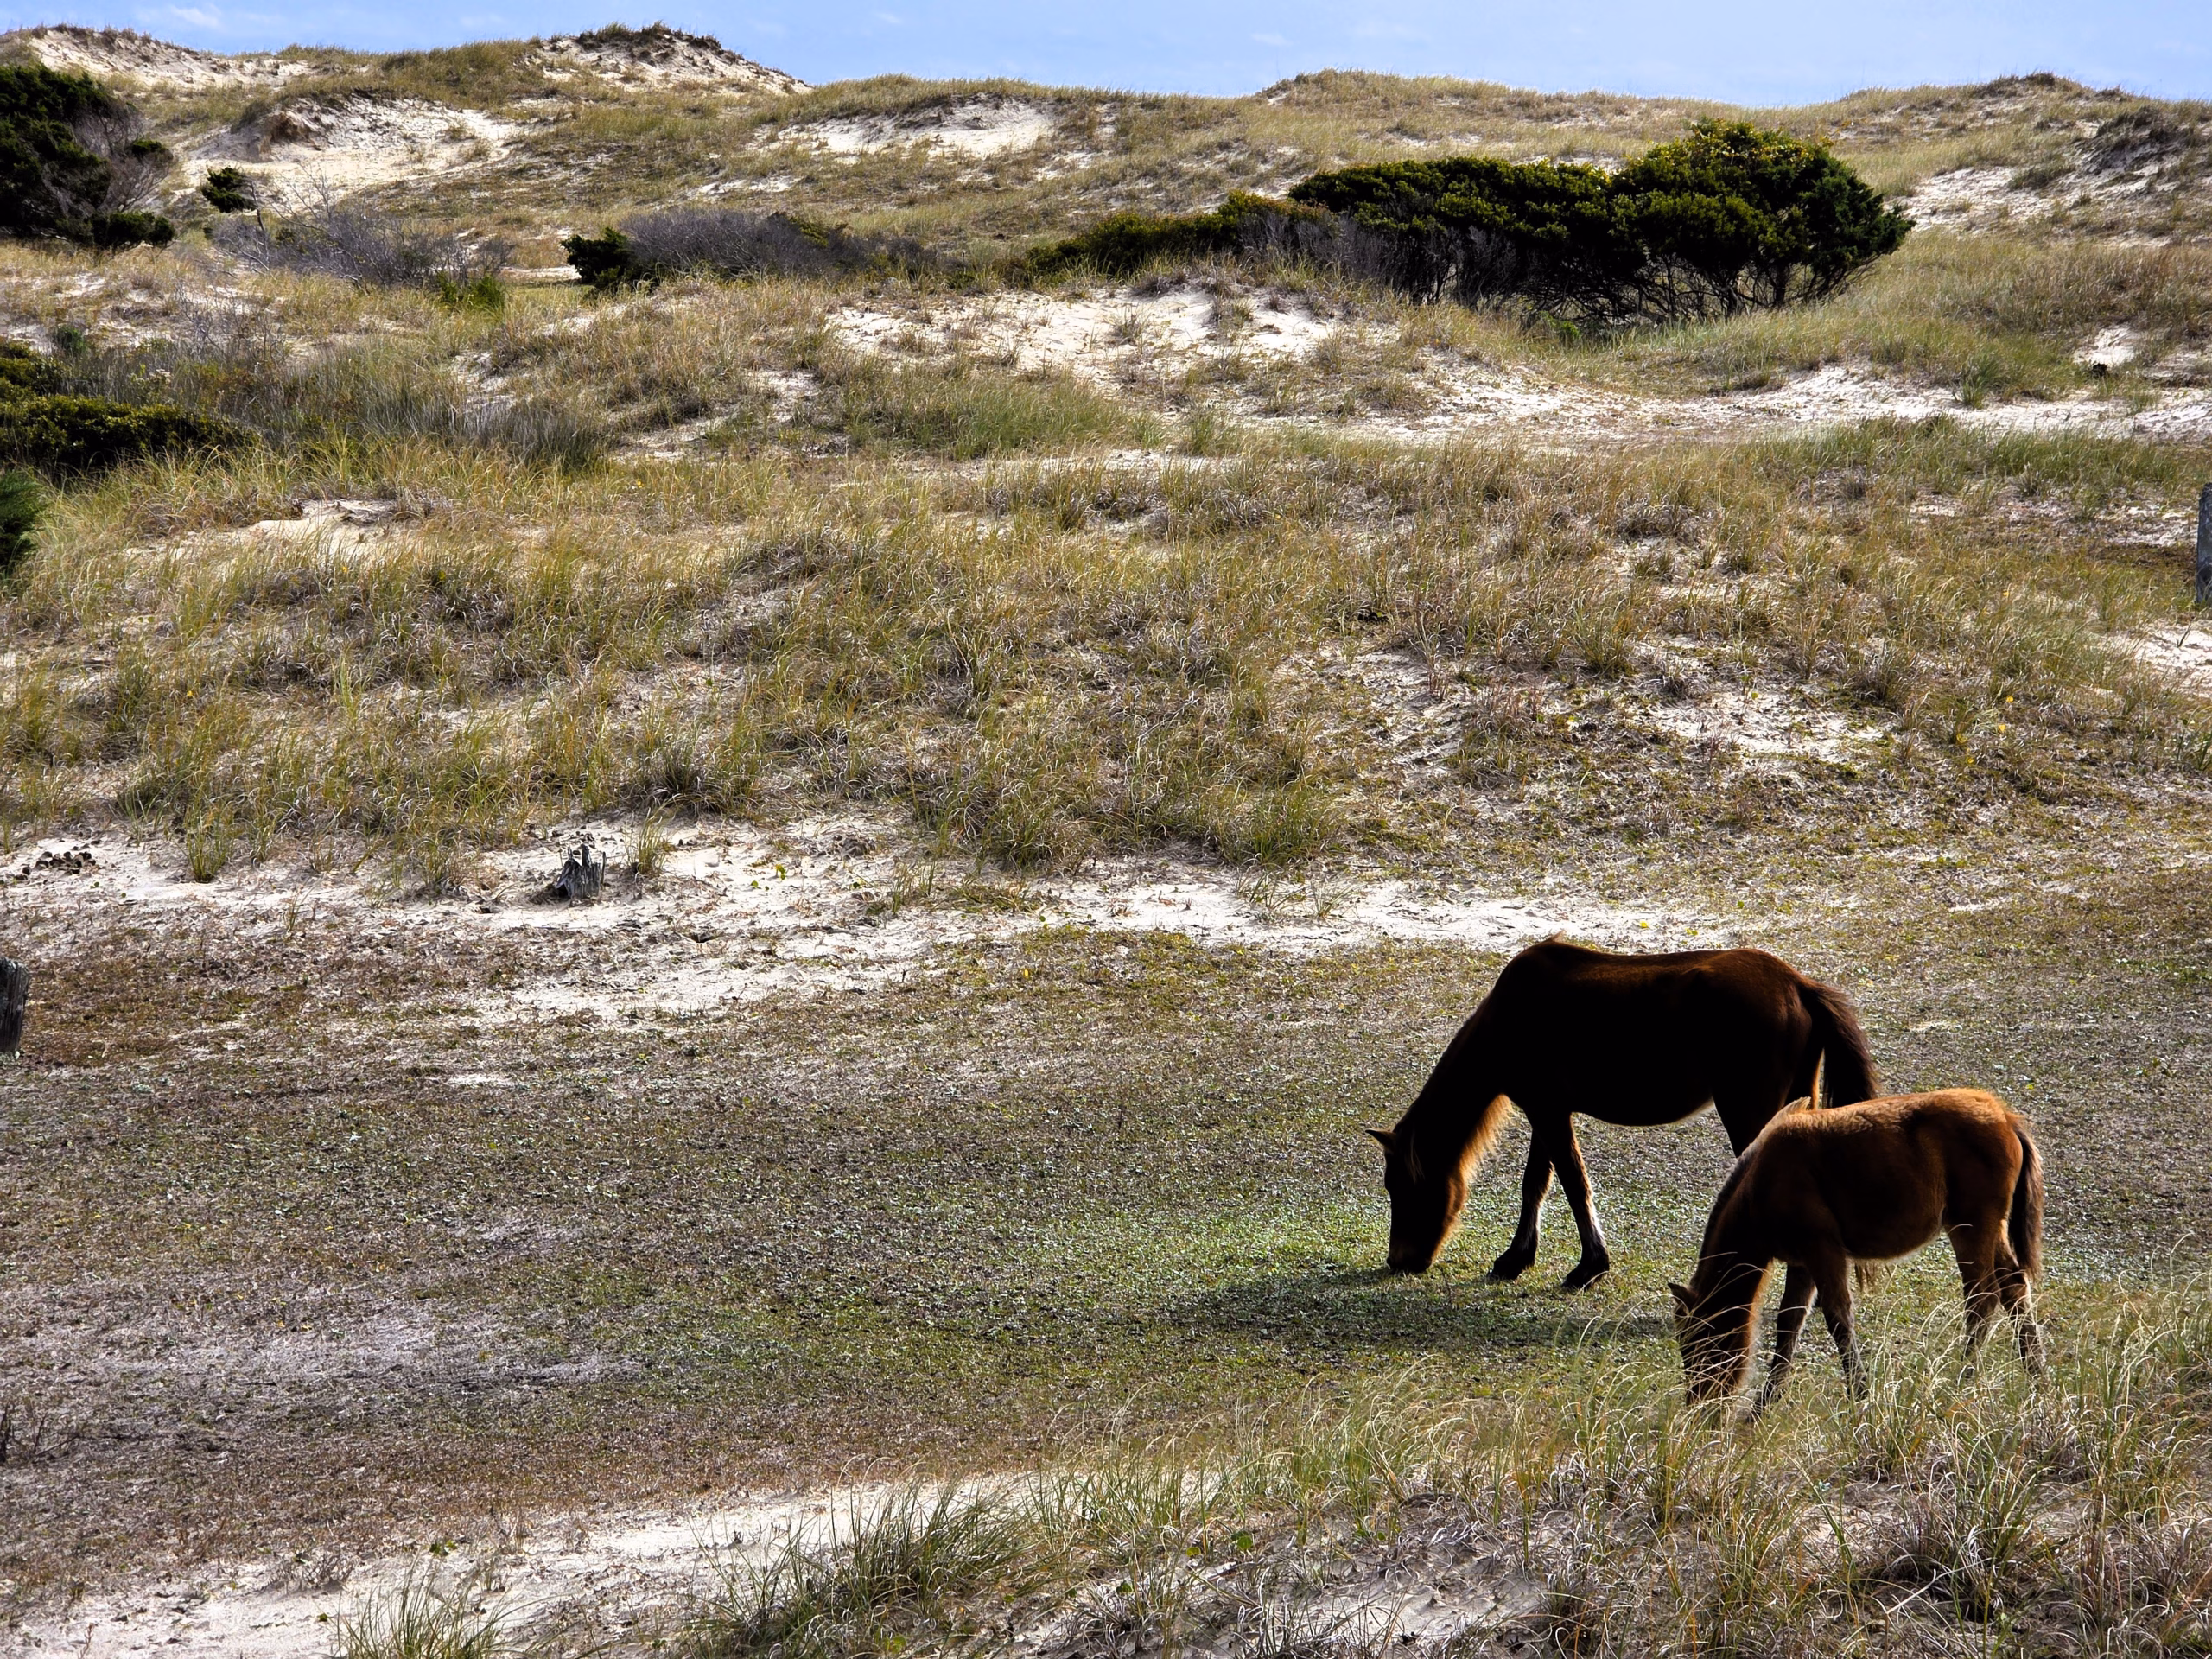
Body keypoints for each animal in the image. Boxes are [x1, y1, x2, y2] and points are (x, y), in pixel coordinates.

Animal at [1367, 939, 1877, 1289]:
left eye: (1401, 1186)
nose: (1399, 1260)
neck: (1509, 1017)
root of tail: (1798, 985)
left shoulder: (1548, 1112)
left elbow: (1573, 1184)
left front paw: (1589, 1267)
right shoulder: (1547, 1111)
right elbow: (1538, 1184)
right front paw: (1516, 1259)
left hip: (1748, 1109)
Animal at [1670, 1086, 2045, 1412]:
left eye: (1699, 1340)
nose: (1699, 1404)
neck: (1764, 1180)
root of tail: (2006, 1118)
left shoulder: (1824, 1251)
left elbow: (1838, 1317)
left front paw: (1860, 1395)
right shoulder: (1802, 1262)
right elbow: (1789, 1322)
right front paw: (1763, 1406)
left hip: (1971, 1229)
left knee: (1982, 1298)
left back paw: (1961, 1380)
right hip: (1988, 1231)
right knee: (2013, 1287)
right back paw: (2035, 1375)